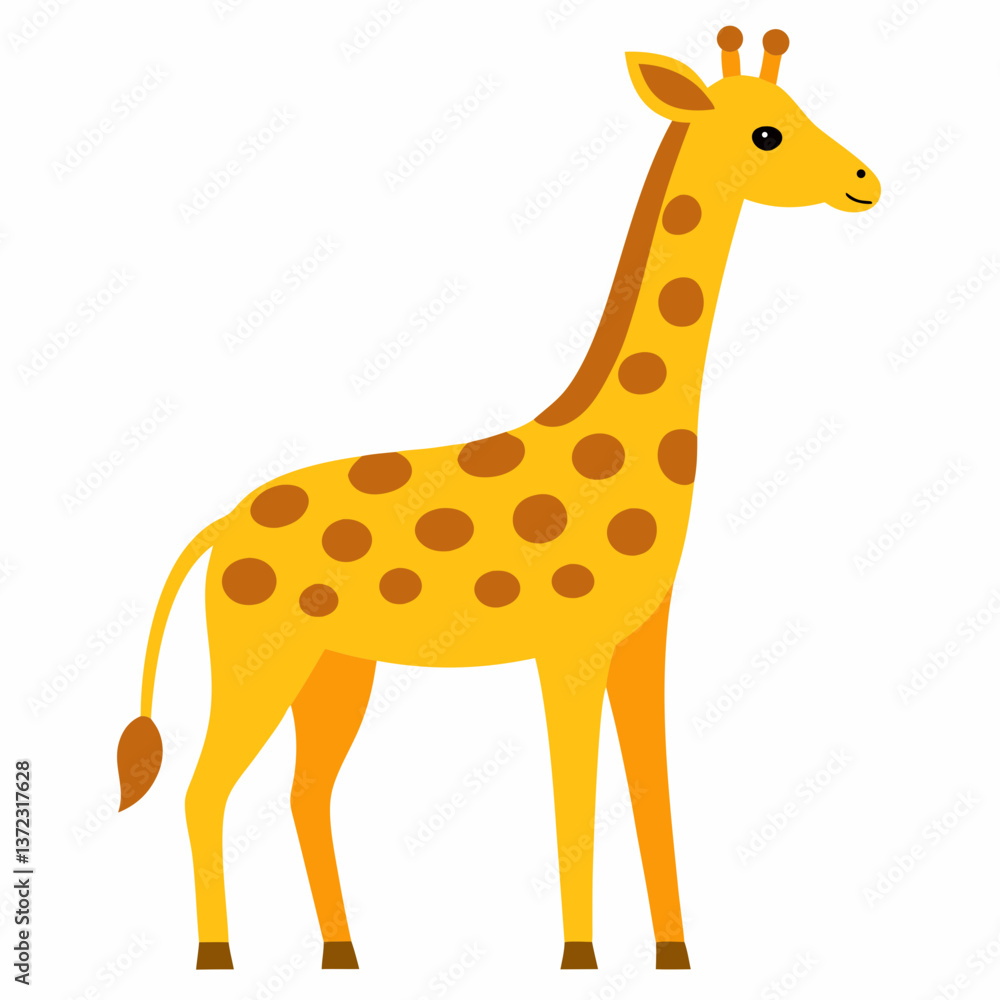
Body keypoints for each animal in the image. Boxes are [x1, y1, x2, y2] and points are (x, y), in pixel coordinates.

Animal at [116, 27, 880, 972]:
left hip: (337, 667)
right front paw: (580, 959)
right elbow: (575, 797)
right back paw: (216, 957)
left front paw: (674, 956)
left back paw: (344, 954)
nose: (864, 181)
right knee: (204, 788)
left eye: (797, 110)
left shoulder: (645, 639)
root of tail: (221, 527)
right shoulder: (571, 647)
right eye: (766, 134)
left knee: (302, 791)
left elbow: (652, 790)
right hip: (260, 655)